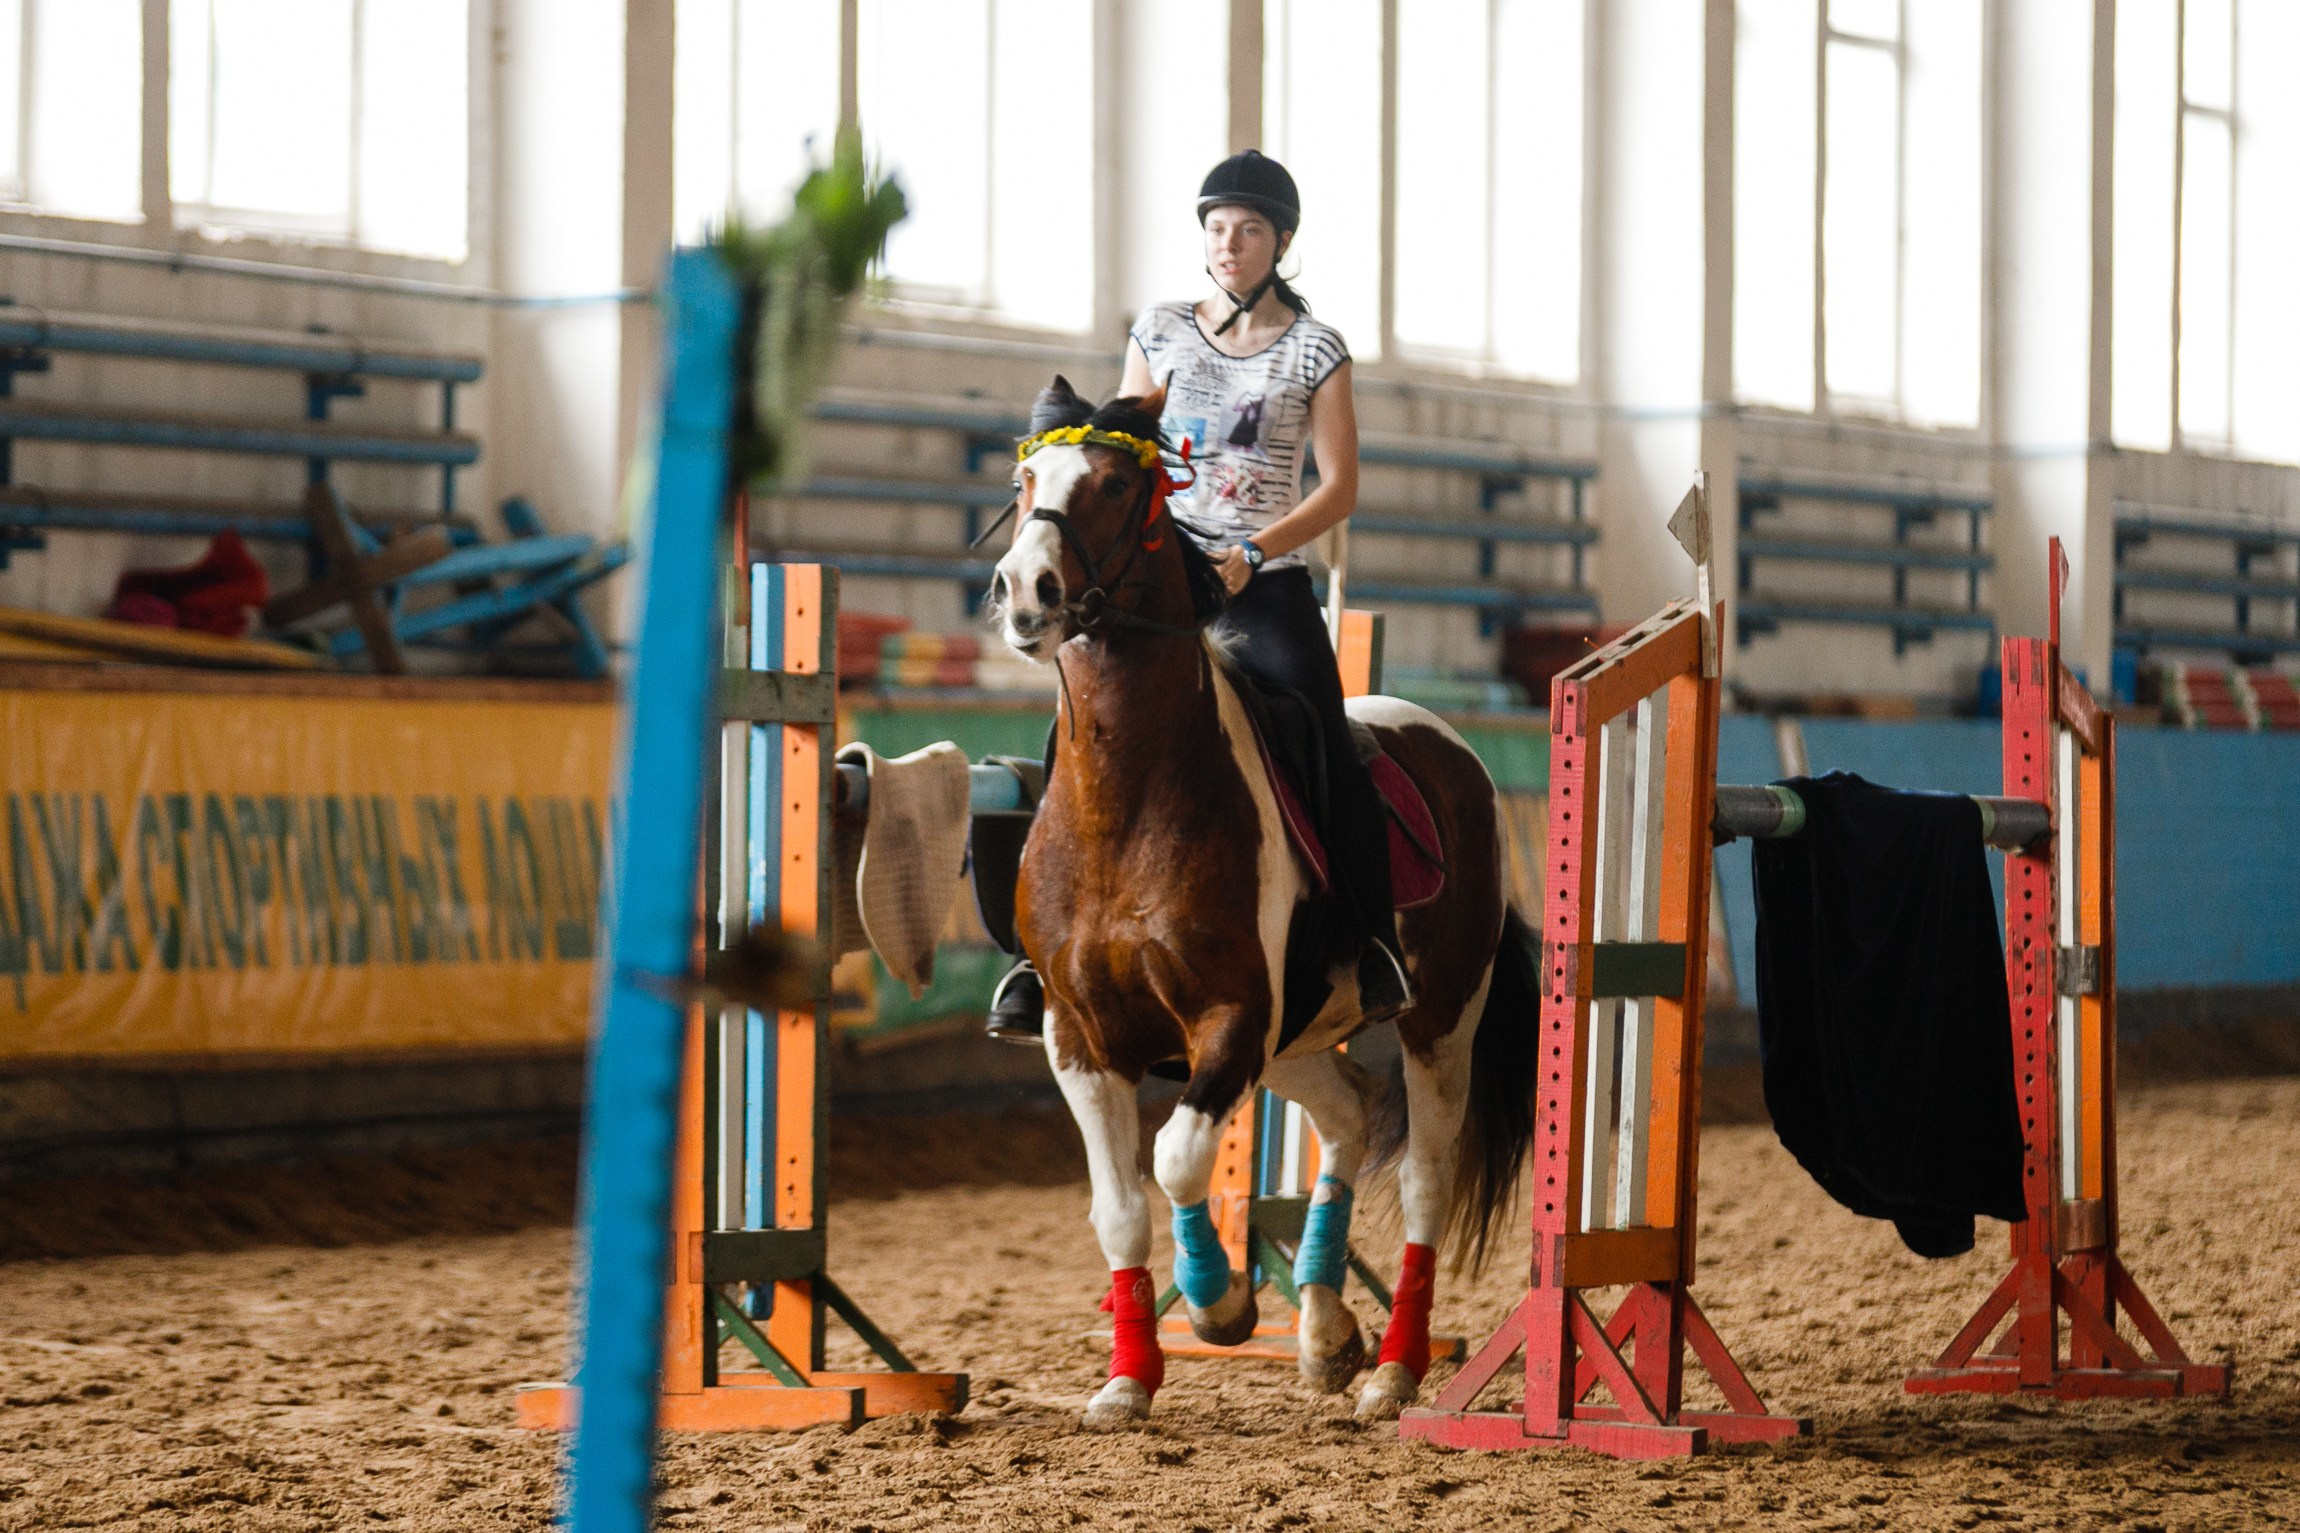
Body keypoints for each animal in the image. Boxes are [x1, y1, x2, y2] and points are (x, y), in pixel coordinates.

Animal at [986, 376, 1542, 1429]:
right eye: (1027, 479)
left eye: (1117, 485)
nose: (1024, 591)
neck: (1128, 796)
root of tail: (1452, 749)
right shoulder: (1076, 1034)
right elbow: (1119, 1206)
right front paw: (1129, 1378)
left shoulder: (1230, 1017)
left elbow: (1177, 1160)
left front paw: (1220, 1305)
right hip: (1297, 1039)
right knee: (1351, 1115)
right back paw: (1326, 1332)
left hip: (1439, 1021)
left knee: (1424, 1178)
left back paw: (1393, 1370)